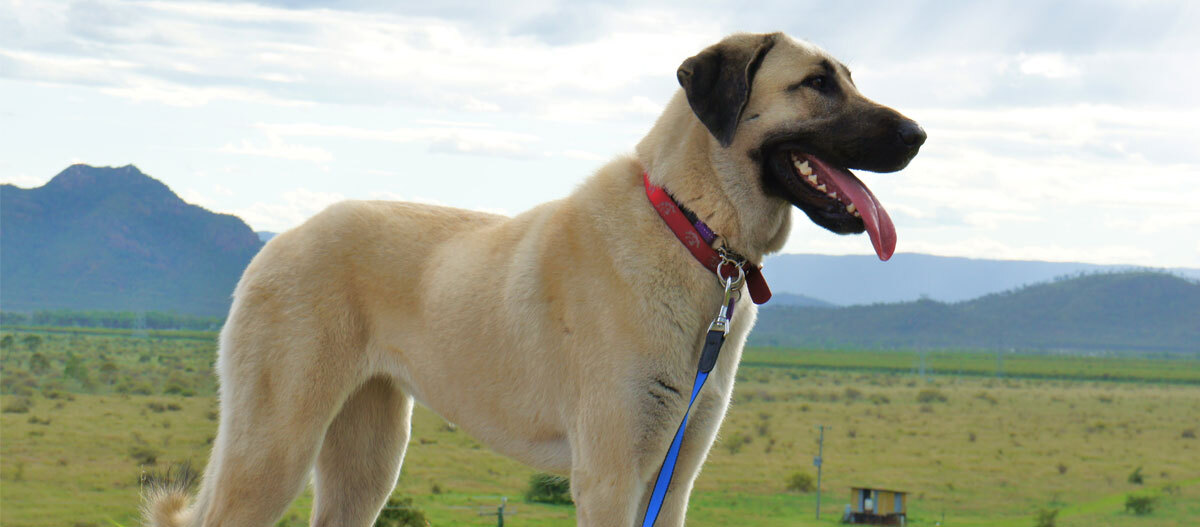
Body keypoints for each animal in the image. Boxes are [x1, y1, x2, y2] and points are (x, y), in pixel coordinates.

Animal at [142, 30, 926, 525]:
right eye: (817, 83)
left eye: (848, 78)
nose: (920, 135)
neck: (691, 226)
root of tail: (279, 241)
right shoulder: (609, 475)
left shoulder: (671, 478)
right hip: (272, 446)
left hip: (366, 457)